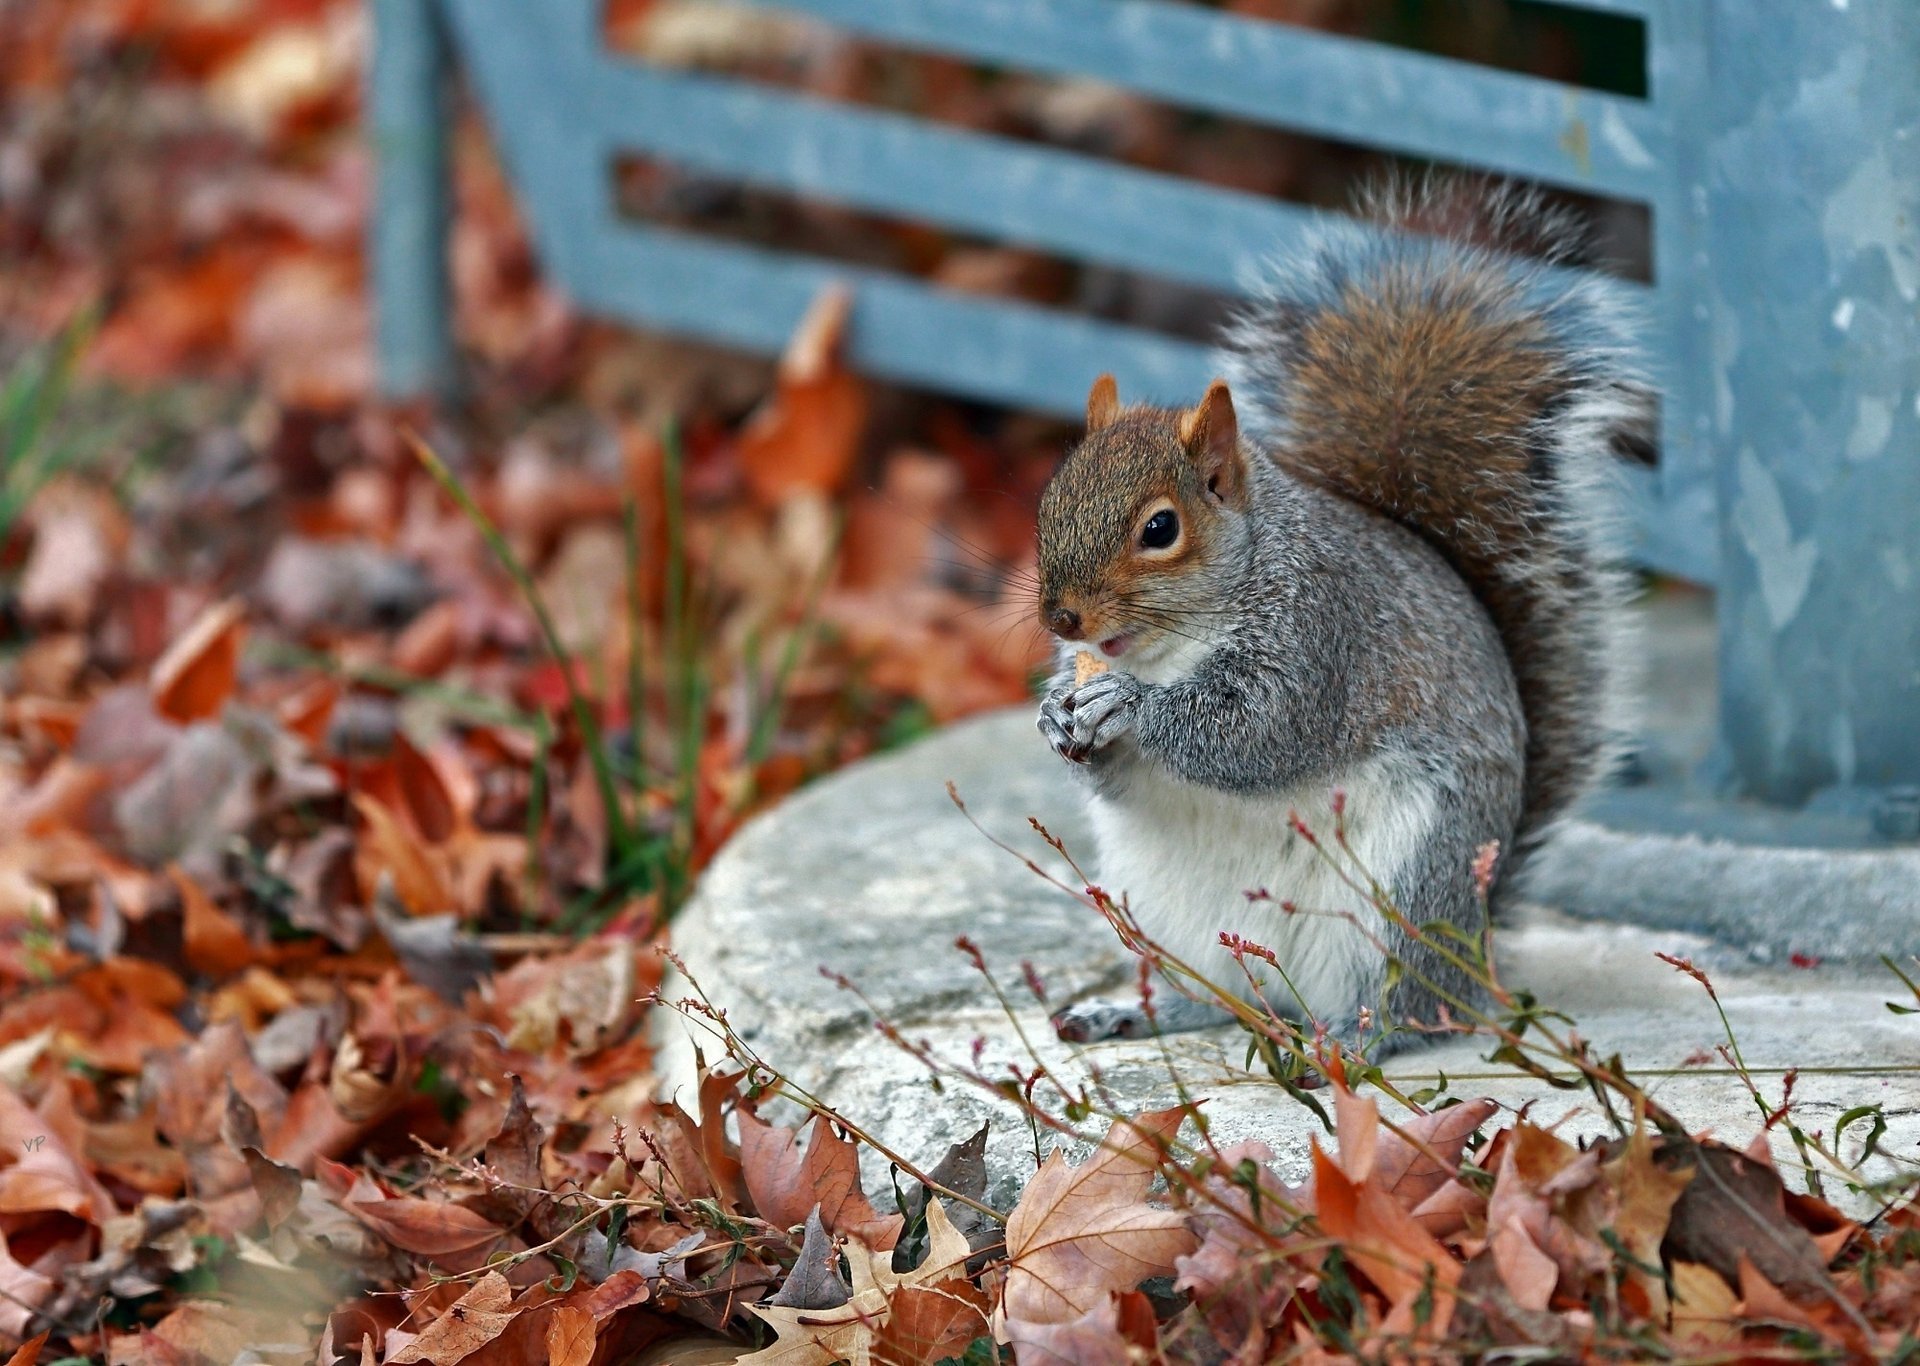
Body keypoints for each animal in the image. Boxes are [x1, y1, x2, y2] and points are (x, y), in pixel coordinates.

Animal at [1034, 178, 1639, 1054]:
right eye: (1049, 498)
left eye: (1160, 529)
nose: (1062, 621)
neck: (1172, 645)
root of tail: (1476, 950)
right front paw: (1056, 715)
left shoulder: (1323, 633)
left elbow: (1256, 733)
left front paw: (1131, 707)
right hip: (1165, 912)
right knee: (1214, 996)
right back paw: (1133, 1011)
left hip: (1402, 894)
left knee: (1402, 1006)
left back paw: (1352, 1043)